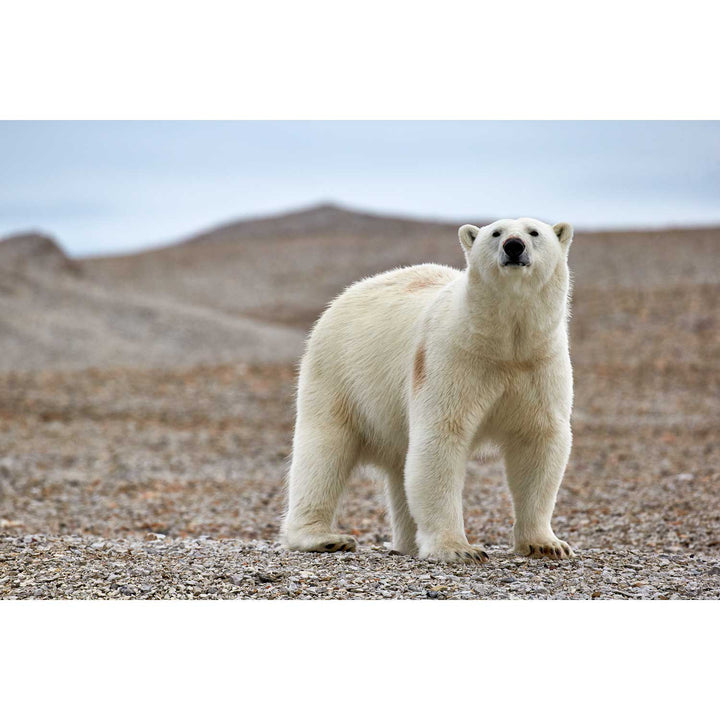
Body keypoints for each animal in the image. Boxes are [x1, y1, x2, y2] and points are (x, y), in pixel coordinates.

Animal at [280, 217, 572, 564]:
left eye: (534, 232)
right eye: (496, 232)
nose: (514, 246)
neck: (503, 344)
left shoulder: (539, 363)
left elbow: (538, 441)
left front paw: (547, 544)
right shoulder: (451, 357)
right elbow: (440, 439)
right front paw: (459, 548)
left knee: (398, 467)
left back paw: (407, 543)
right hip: (339, 374)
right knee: (323, 450)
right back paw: (323, 538)